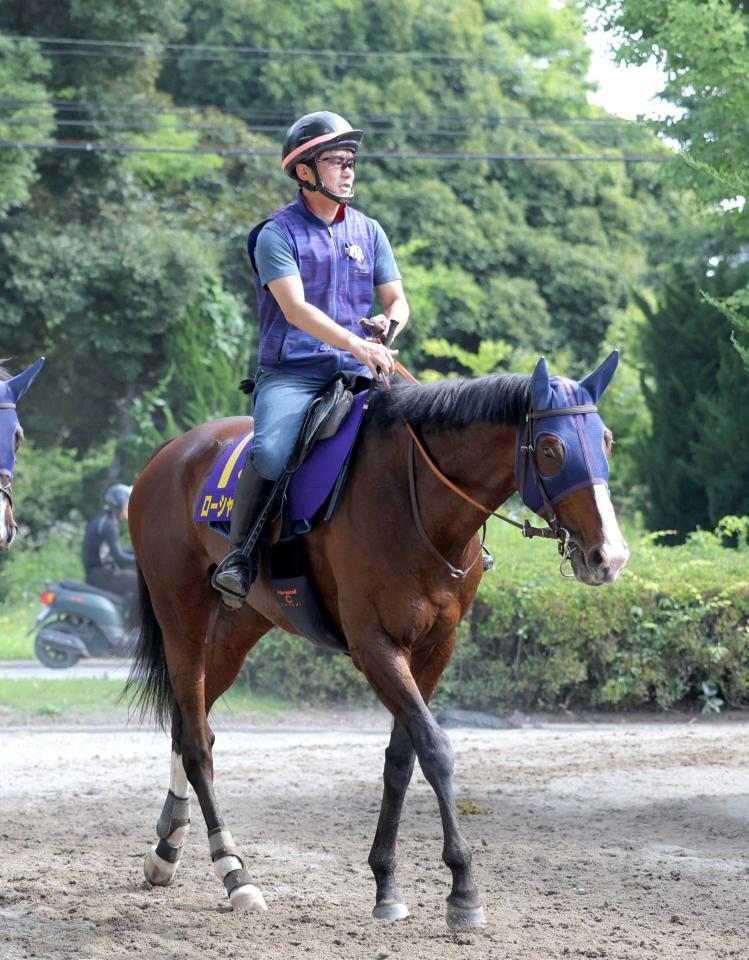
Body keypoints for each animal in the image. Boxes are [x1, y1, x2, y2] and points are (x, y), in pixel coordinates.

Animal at [127, 352, 624, 928]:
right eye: (550, 448)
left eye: (606, 439)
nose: (610, 556)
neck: (417, 502)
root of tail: (171, 452)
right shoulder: (376, 648)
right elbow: (436, 749)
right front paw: (463, 889)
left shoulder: (435, 649)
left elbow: (401, 758)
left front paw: (386, 883)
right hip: (180, 616)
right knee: (199, 744)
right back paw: (235, 873)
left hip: (237, 628)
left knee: (188, 721)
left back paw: (167, 848)